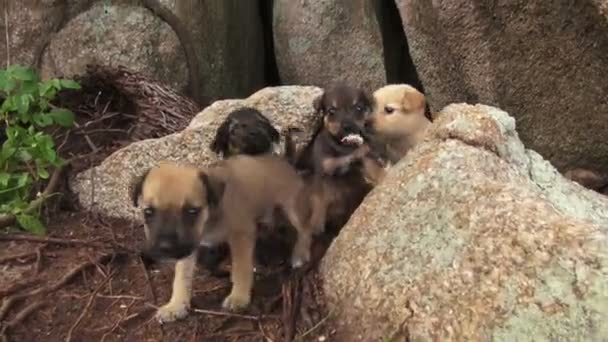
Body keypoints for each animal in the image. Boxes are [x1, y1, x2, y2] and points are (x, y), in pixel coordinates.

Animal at [132, 158, 318, 324]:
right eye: (148, 212)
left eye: (192, 211)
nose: (166, 248)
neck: (209, 219)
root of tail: (284, 162)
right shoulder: (188, 248)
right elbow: (181, 277)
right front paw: (177, 305)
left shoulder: (241, 235)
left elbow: (241, 269)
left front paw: (238, 297)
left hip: (293, 208)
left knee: (305, 230)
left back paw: (300, 254)